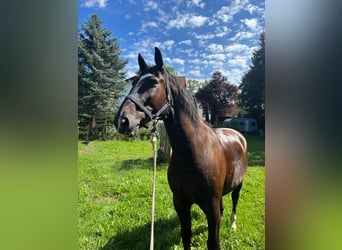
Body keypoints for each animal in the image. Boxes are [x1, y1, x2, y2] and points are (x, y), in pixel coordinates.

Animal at [113, 47, 247, 250]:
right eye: (134, 83)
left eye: (153, 82)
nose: (122, 120)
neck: (193, 153)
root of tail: (237, 135)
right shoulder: (181, 202)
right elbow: (186, 236)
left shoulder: (211, 206)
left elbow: (213, 242)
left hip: (237, 185)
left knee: (234, 201)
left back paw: (232, 224)